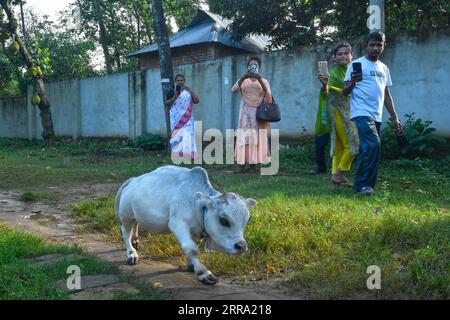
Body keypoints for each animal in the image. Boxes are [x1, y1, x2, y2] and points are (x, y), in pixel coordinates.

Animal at [115, 166, 256, 284]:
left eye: (246, 220)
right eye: (223, 220)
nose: (241, 246)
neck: (196, 204)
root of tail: (133, 180)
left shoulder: (196, 231)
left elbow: (195, 246)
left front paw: (192, 265)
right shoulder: (178, 224)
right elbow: (191, 248)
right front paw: (203, 273)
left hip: (134, 215)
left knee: (135, 225)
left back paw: (135, 241)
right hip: (126, 215)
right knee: (125, 233)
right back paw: (131, 253)